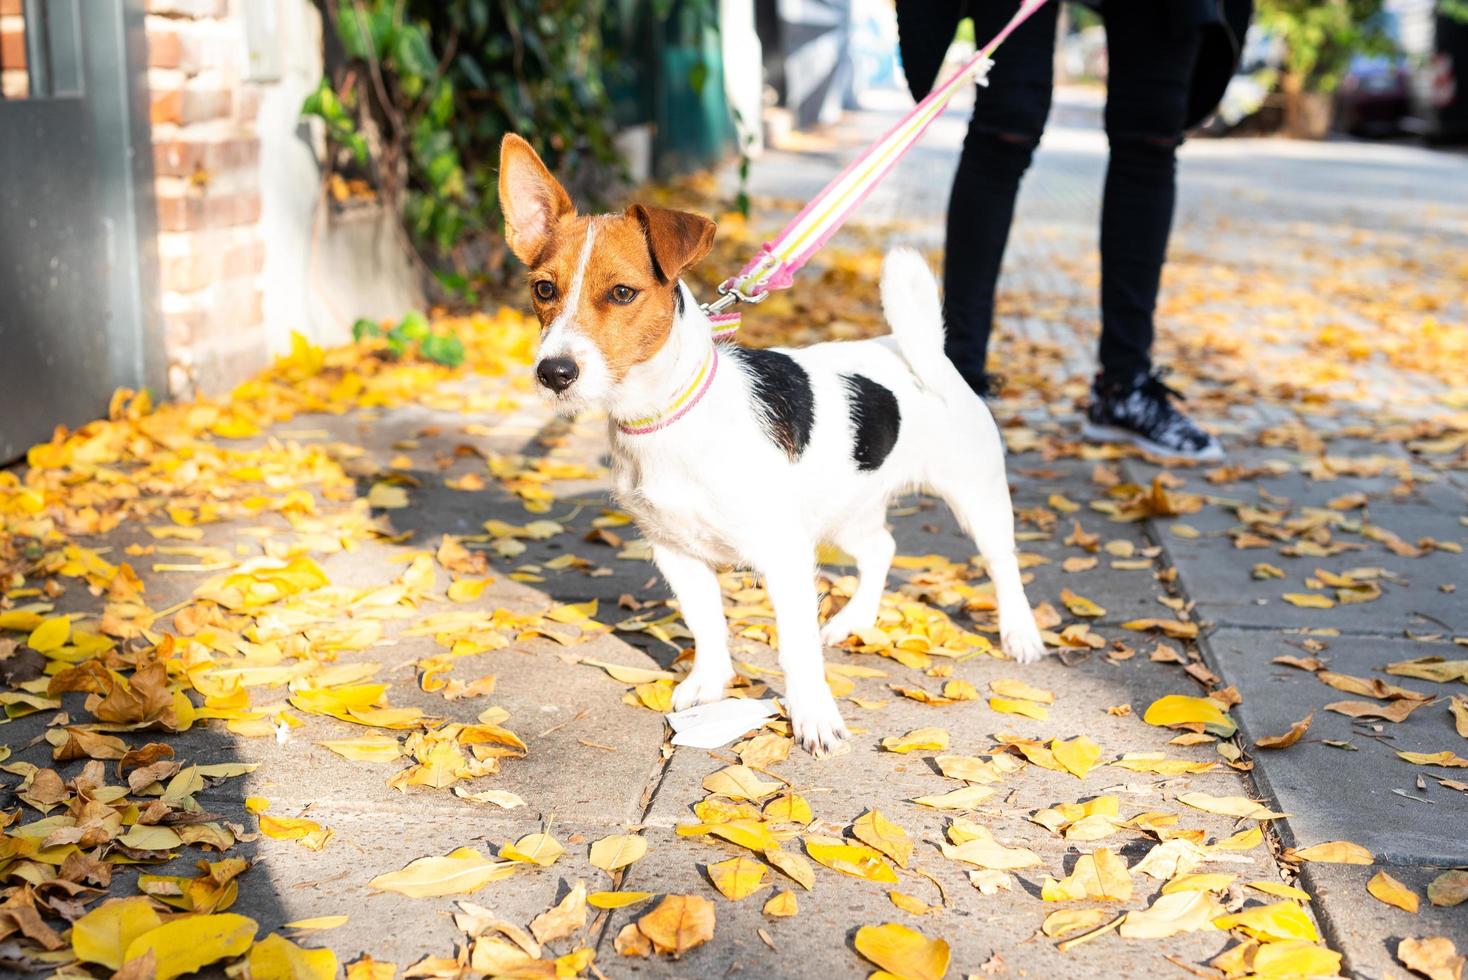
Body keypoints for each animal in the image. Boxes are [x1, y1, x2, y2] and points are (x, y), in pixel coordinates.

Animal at [499, 134, 1051, 757]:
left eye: (622, 293)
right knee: (881, 549)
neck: (668, 418)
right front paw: (711, 683)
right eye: (544, 289)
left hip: (976, 499)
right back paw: (855, 620)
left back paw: (1019, 633)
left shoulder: (784, 557)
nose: (553, 372)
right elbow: (707, 625)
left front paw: (813, 717)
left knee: (1002, 564)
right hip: (844, 512)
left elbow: (795, 651)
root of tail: (923, 355)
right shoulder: (676, 551)